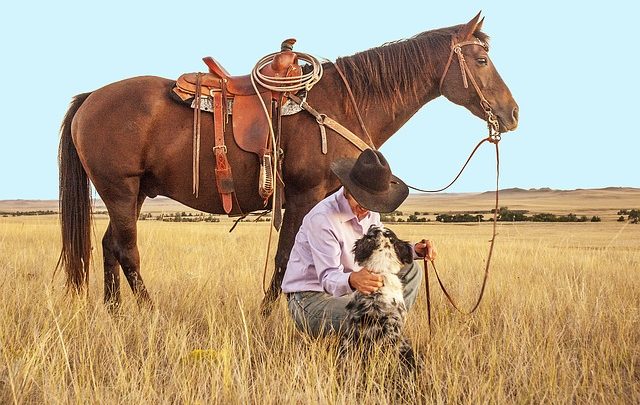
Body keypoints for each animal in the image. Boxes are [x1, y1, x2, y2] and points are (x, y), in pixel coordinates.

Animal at [58, 13, 520, 316]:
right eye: (481, 60)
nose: (512, 113)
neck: (342, 104)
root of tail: (91, 97)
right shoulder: (302, 194)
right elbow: (285, 257)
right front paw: (268, 314)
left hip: (132, 193)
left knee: (109, 246)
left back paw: (114, 312)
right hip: (119, 189)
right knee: (127, 250)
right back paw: (147, 310)